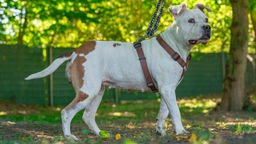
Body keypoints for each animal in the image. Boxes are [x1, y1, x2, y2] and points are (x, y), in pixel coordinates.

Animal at [25, 3, 211, 141]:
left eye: (206, 19)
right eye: (191, 20)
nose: (207, 27)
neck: (174, 45)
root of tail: (77, 51)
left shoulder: (169, 89)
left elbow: (165, 112)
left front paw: (161, 131)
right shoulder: (167, 89)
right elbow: (176, 112)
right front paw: (181, 132)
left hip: (97, 91)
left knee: (88, 116)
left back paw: (100, 134)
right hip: (87, 91)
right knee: (66, 112)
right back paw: (69, 136)